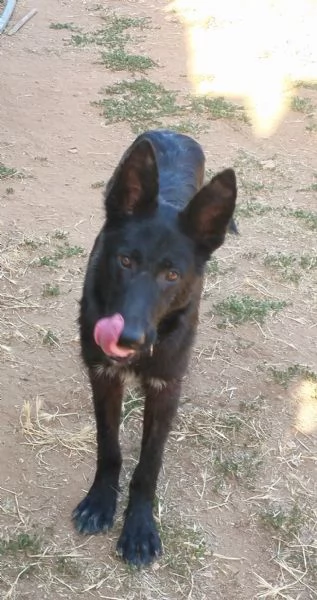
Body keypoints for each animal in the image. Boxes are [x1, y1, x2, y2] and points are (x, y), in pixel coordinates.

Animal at [71, 129, 235, 564]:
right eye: (125, 261)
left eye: (172, 275)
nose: (127, 337)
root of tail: (173, 132)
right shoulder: (103, 376)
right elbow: (109, 447)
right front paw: (101, 501)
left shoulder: (166, 388)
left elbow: (149, 463)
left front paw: (140, 525)